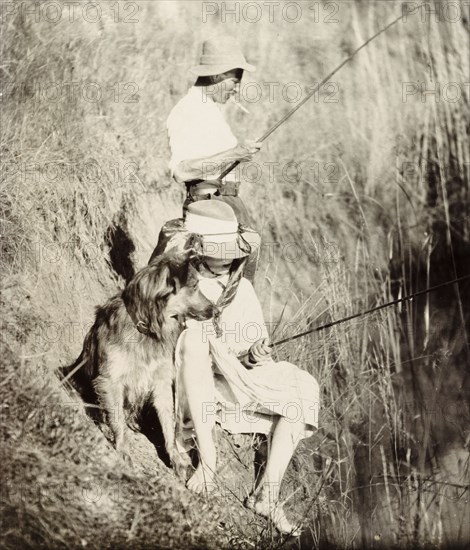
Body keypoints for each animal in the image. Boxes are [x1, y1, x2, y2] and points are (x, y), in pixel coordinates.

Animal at [64, 248, 215, 476]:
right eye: (195, 285)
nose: (215, 310)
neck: (147, 329)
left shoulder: (162, 383)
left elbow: (168, 425)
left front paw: (176, 458)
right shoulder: (110, 379)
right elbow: (117, 418)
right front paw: (122, 449)